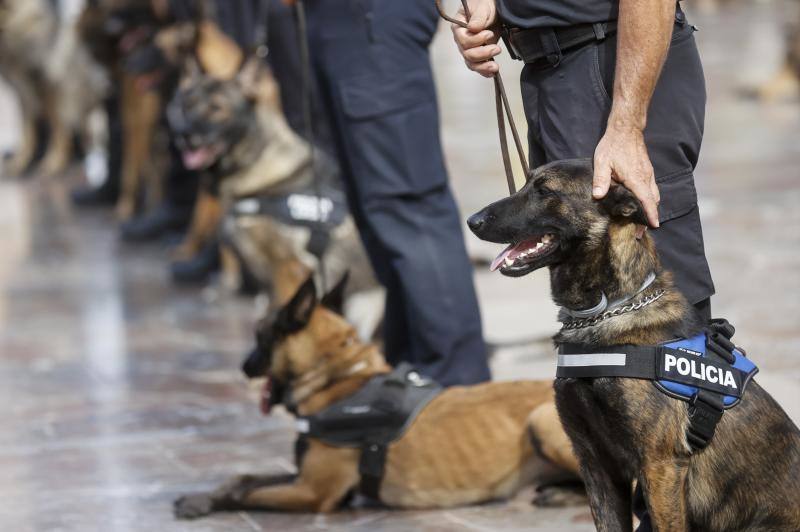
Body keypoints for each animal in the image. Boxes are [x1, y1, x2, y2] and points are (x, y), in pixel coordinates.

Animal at [172, 276, 580, 516]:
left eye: (260, 336)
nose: (244, 366)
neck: (339, 378)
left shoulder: (312, 492)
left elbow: (245, 494)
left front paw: (202, 502)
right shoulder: (301, 477)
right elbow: (243, 478)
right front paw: (206, 493)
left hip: (541, 421)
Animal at [466, 159, 800, 532]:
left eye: (545, 190)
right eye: (527, 184)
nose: (472, 221)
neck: (607, 311)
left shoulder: (660, 466)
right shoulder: (596, 464)